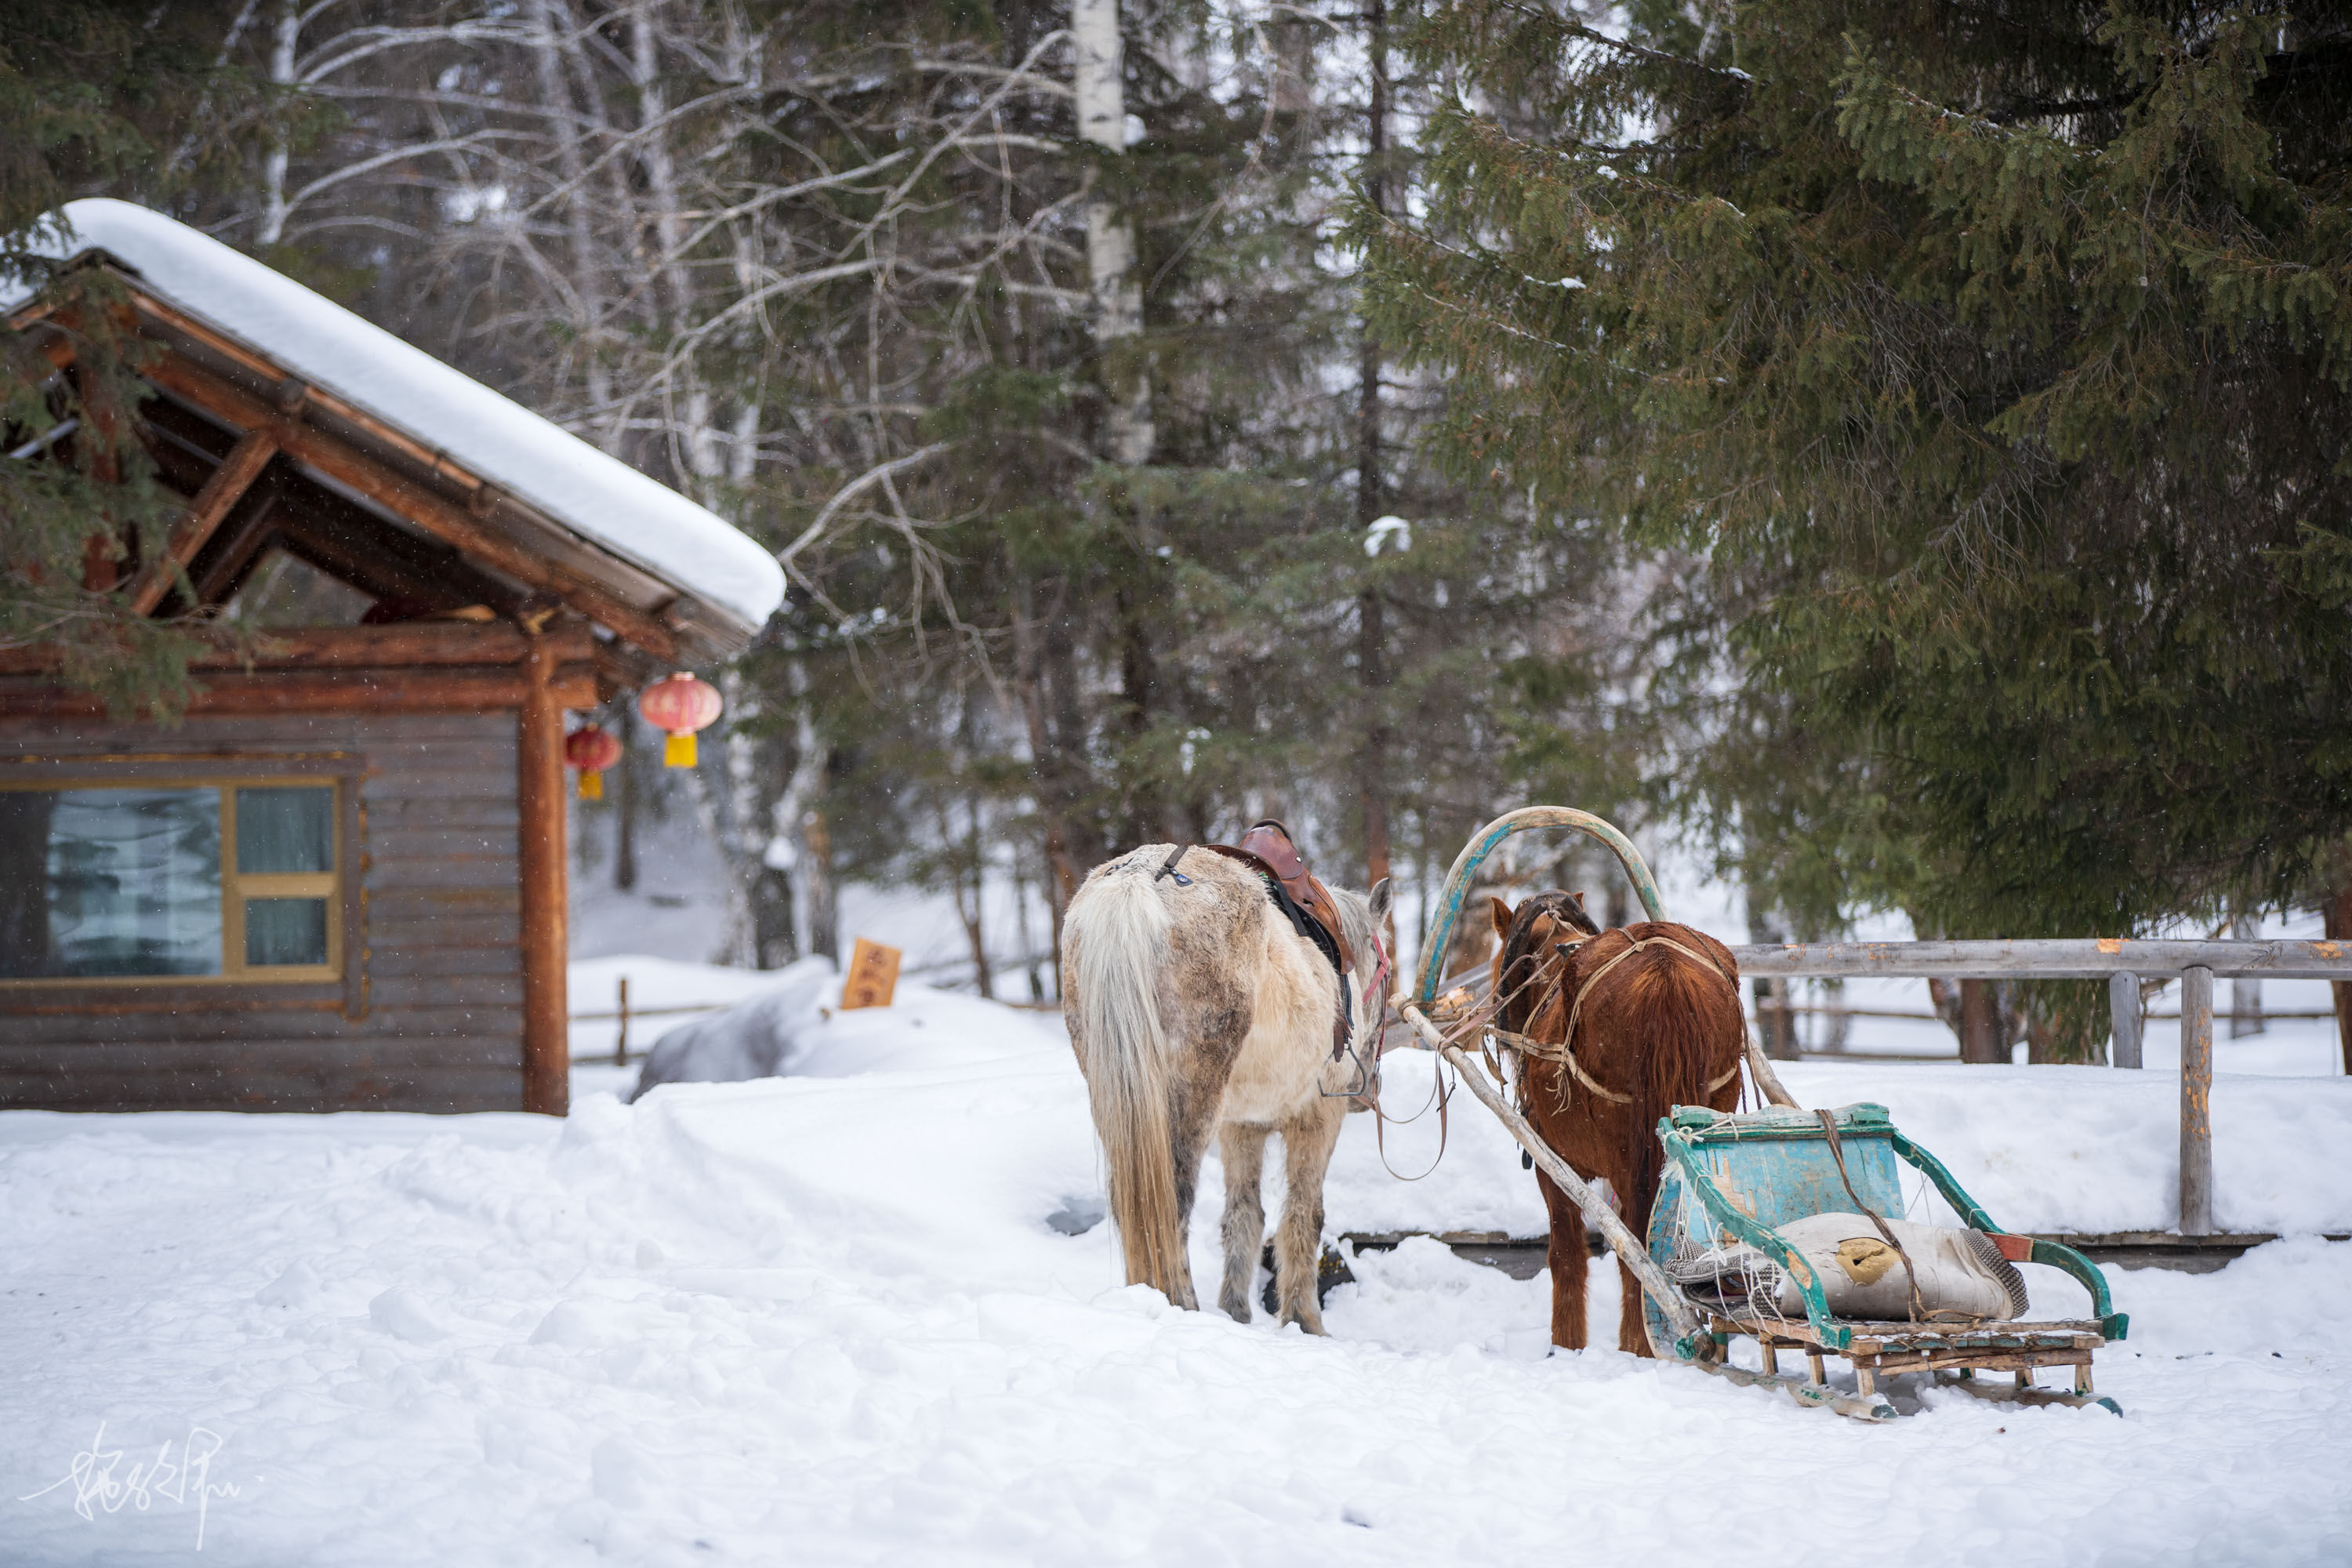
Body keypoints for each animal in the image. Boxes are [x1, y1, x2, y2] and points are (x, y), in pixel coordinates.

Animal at [1058, 841, 1383, 1335]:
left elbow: (1244, 1217)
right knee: (1172, 1202)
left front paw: (1237, 1313)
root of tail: (1137, 880)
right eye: (1385, 969)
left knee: (1131, 1201)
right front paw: (1305, 1321)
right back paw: (1181, 1306)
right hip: (1193, 1099)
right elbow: (1304, 1217)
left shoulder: (1241, 1126)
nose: (1369, 1094)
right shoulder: (1318, 1119)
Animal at [1486, 902, 1750, 1354]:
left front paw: (1566, 1344)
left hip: (1632, 1155)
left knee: (1638, 1243)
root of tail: (1666, 972)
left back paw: (1640, 1342)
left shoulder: (1553, 1162)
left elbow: (1566, 1255)